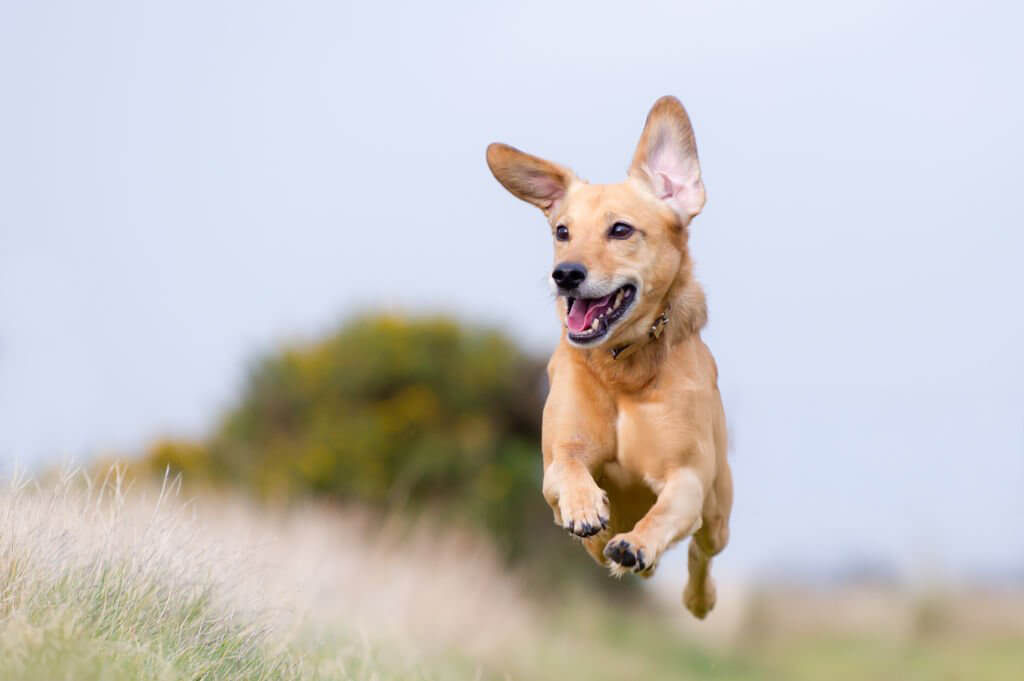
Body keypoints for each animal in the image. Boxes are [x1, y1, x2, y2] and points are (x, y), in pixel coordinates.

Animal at [485, 96, 733, 622]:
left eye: (621, 230)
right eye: (562, 231)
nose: (564, 274)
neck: (623, 369)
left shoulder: (687, 477)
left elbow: (664, 512)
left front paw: (636, 544)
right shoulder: (560, 455)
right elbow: (568, 468)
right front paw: (585, 508)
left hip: (718, 508)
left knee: (702, 550)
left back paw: (696, 597)